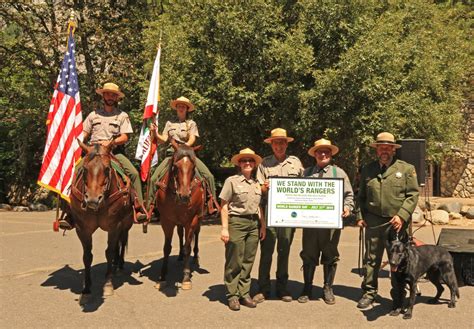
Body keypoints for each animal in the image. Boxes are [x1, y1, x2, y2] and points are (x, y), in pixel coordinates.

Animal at [70, 142, 133, 304]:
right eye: (85, 169)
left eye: (106, 169)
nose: (92, 200)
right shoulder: (82, 228)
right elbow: (87, 256)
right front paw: (86, 289)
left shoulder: (115, 226)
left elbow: (109, 252)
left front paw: (108, 285)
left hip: (126, 224)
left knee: (122, 242)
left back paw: (119, 266)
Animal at [156, 140, 206, 288]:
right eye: (176, 166)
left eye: (193, 166)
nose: (184, 196)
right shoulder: (166, 221)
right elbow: (167, 247)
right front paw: (162, 276)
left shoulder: (191, 220)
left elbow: (188, 246)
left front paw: (186, 277)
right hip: (178, 222)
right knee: (179, 234)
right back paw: (179, 256)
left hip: (198, 219)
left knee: (196, 234)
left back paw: (195, 257)